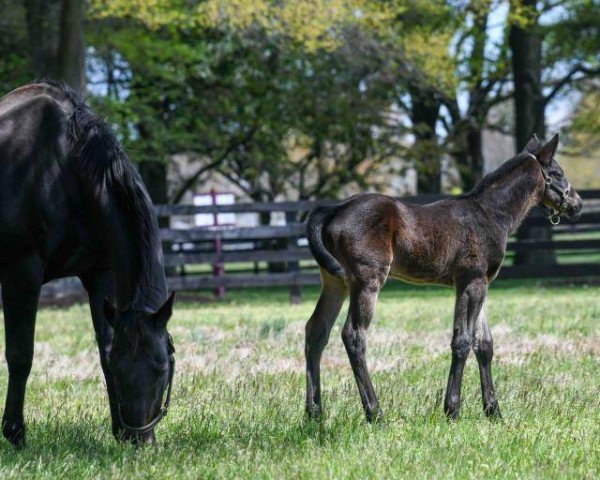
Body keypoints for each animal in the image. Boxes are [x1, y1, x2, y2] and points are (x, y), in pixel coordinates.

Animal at [0, 80, 173, 444]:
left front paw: (117, 430)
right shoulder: (21, 272)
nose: (139, 438)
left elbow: (103, 346)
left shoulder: (99, 275)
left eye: (162, 366)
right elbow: (21, 354)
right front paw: (15, 433)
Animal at [304, 134, 580, 420]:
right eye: (558, 174)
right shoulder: (470, 281)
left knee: (316, 331)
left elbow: (484, 344)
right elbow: (462, 341)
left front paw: (493, 411)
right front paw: (452, 409)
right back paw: (375, 413)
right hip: (366, 280)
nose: (577, 204)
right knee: (354, 336)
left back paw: (314, 413)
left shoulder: (480, 283)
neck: (489, 214)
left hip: (335, 282)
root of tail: (335, 209)